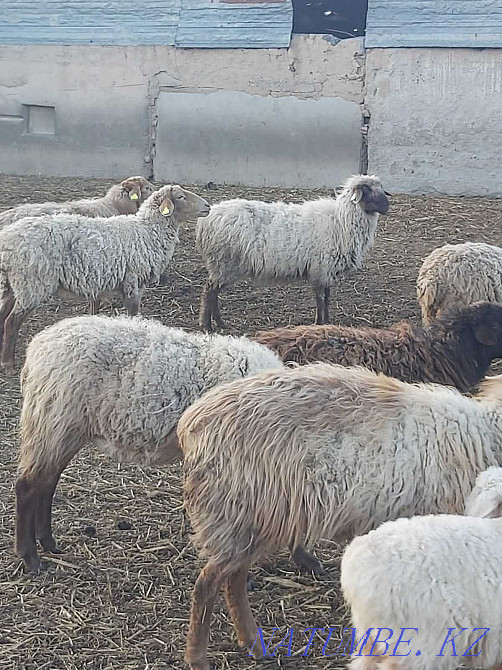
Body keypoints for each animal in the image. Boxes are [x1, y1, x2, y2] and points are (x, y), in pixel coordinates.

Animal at [0, 185, 210, 371]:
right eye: (181, 197)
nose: (208, 206)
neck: (147, 231)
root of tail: (6, 242)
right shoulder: (133, 283)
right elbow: (133, 314)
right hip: (32, 284)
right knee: (12, 321)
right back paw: (8, 364)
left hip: (13, 285)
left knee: (3, 314)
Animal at [13, 314, 288, 573]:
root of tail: (36, 348)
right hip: (53, 419)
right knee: (27, 486)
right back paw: (31, 558)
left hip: (63, 428)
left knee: (46, 483)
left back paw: (49, 543)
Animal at [196, 174, 389, 331]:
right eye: (367, 190)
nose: (387, 208)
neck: (341, 220)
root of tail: (207, 219)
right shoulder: (320, 269)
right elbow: (320, 299)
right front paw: (319, 323)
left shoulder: (326, 271)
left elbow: (327, 298)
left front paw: (326, 322)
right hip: (223, 263)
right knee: (209, 292)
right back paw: (207, 326)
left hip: (222, 265)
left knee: (214, 293)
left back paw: (220, 323)